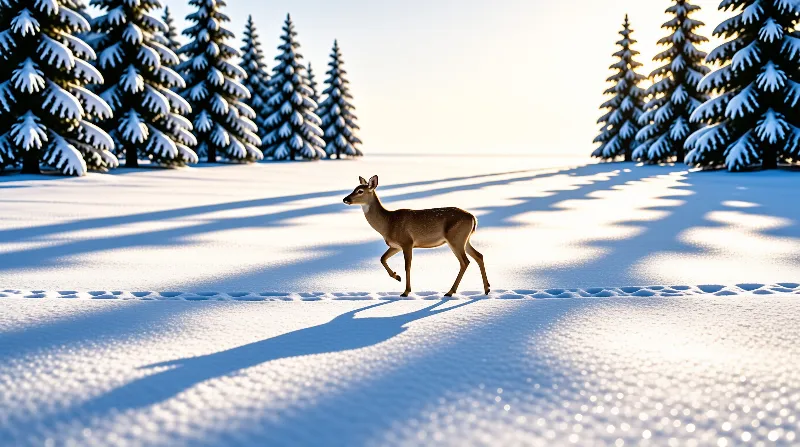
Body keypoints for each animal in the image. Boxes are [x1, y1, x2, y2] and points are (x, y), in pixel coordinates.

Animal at [343, 175, 490, 297]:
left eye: (360, 191)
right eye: (354, 188)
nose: (345, 199)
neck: (388, 223)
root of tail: (473, 217)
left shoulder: (407, 242)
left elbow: (407, 266)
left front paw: (406, 291)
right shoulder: (396, 245)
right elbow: (382, 258)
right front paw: (397, 277)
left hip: (455, 238)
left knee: (465, 262)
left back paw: (450, 291)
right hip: (465, 239)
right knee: (479, 256)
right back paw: (486, 288)